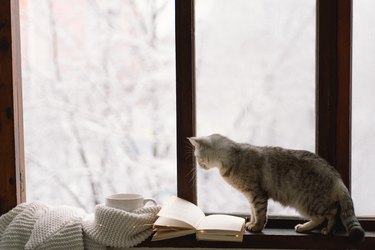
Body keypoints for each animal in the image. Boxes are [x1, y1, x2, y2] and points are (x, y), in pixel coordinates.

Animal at [189, 134, 366, 241]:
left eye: (197, 156)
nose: (198, 164)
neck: (232, 157)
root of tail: (337, 178)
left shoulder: (257, 194)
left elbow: (260, 214)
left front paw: (257, 227)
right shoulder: (250, 195)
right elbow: (253, 212)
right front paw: (251, 223)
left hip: (308, 203)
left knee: (331, 213)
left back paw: (326, 230)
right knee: (323, 216)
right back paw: (304, 228)